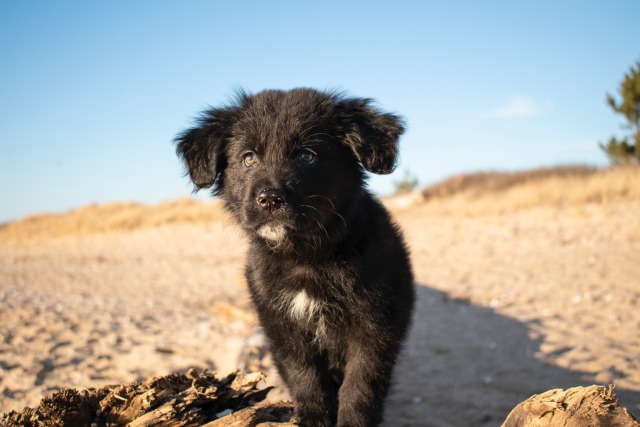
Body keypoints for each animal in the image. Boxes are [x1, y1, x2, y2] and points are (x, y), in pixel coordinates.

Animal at [175, 88, 416, 426]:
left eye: (306, 156)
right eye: (248, 157)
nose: (269, 199)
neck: (306, 257)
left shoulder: (375, 329)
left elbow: (361, 387)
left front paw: (352, 421)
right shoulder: (283, 329)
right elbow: (306, 379)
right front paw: (313, 418)